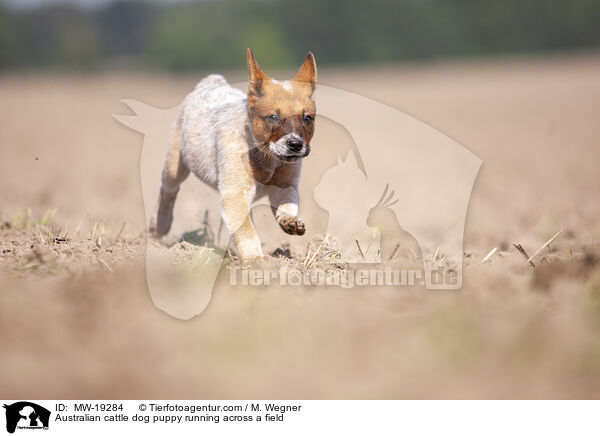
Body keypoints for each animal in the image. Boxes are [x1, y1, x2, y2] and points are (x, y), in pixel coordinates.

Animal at [150, 48, 316, 258]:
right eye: (273, 117)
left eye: (307, 118)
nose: (295, 144)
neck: (266, 158)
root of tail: (212, 82)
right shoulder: (234, 194)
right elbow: (247, 233)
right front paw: (257, 261)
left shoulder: (286, 186)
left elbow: (288, 205)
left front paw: (290, 221)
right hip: (174, 166)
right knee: (168, 190)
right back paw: (158, 227)